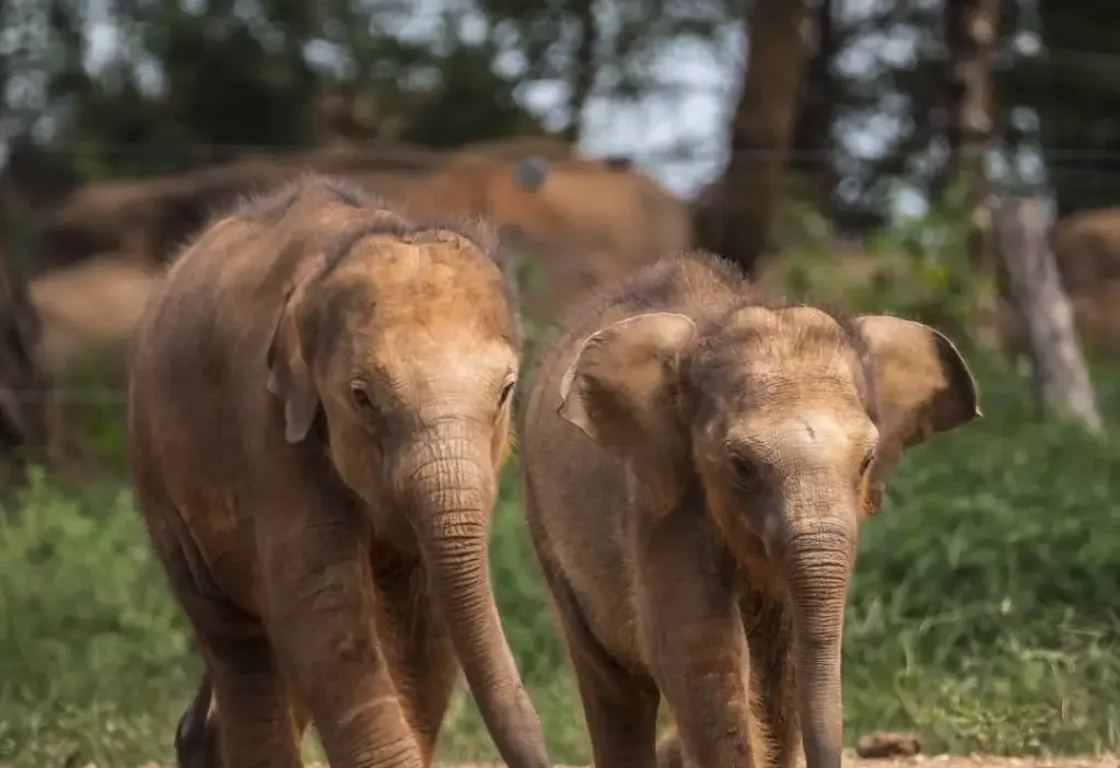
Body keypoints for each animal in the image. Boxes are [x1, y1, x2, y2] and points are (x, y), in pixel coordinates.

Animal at [127, 174, 552, 768]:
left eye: (506, 391)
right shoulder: (269, 432)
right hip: (161, 488)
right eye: (361, 397)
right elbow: (321, 608)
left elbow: (426, 623)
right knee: (241, 650)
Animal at [519, 251, 981, 768]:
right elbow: (699, 649)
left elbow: (784, 660)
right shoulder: (664, 501)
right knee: (613, 685)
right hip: (543, 524)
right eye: (740, 466)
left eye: (866, 461)